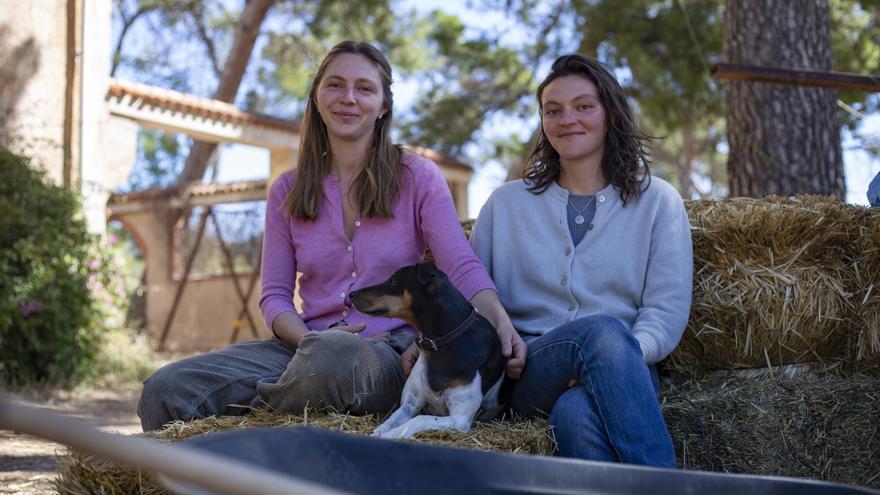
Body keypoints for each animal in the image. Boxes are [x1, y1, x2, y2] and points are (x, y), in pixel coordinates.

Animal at [348, 262, 506, 440]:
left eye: (394, 280)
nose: (351, 294)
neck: (443, 346)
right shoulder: (410, 403)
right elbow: (389, 421)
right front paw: (378, 433)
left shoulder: (459, 419)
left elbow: (419, 419)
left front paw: (393, 434)